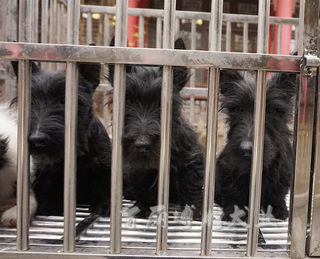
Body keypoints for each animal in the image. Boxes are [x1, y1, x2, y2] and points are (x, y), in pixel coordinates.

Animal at [11, 60, 112, 216]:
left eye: (64, 100)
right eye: (31, 101)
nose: (36, 139)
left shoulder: (104, 163)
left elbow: (104, 185)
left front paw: (103, 203)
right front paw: (48, 203)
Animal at [107, 39, 202, 221]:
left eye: (161, 103)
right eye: (128, 100)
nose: (142, 144)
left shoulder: (190, 159)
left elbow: (191, 183)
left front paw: (193, 210)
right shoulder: (139, 170)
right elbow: (145, 189)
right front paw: (143, 207)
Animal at [215, 69, 298, 221]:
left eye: (271, 110)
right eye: (237, 109)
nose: (247, 149)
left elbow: (277, 194)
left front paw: (279, 208)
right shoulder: (227, 170)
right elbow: (233, 192)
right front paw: (234, 210)